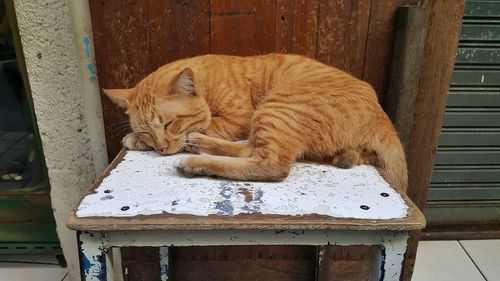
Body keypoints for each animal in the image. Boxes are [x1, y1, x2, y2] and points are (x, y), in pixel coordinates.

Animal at [103, 53, 408, 191]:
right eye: (149, 131)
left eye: (168, 124)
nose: (162, 149)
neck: (207, 80)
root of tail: (382, 117)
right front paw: (140, 139)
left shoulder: (240, 118)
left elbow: (210, 124)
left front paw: (138, 141)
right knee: (251, 150)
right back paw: (198, 144)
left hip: (276, 108)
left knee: (271, 164)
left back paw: (194, 159)